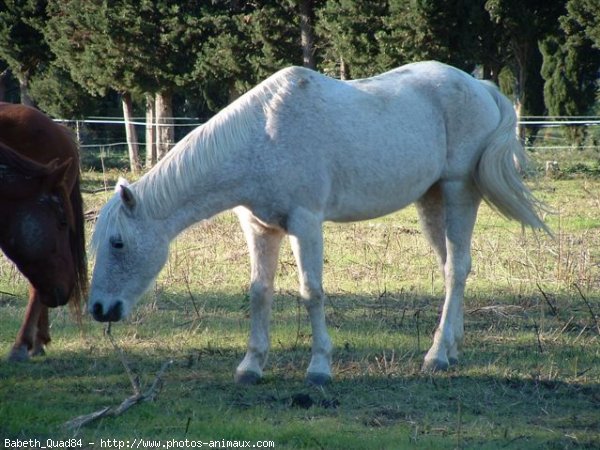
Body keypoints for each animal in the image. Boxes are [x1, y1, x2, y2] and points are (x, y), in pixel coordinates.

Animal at [90, 59, 548, 384]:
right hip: (431, 199)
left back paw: (435, 356)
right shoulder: (260, 228)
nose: (99, 309)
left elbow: (311, 292)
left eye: (117, 243)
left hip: (457, 191)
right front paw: (251, 366)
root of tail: (480, 86)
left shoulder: (305, 223)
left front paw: (319, 369)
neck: (262, 136)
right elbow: (259, 292)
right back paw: (450, 351)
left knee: (456, 269)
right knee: (453, 268)